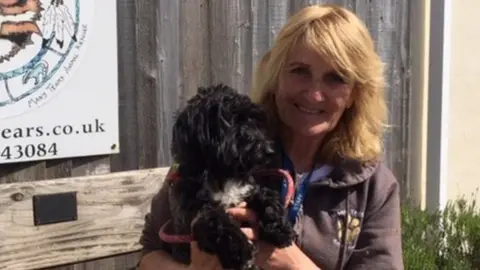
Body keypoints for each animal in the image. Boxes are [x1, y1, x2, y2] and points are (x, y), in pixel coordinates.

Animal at [162, 84, 296, 270]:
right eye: (233, 120)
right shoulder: (197, 213)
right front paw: (241, 250)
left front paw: (280, 228)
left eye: (254, 121)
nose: (269, 151)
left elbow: (268, 198)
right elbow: (220, 222)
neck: (224, 174)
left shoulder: (248, 190)